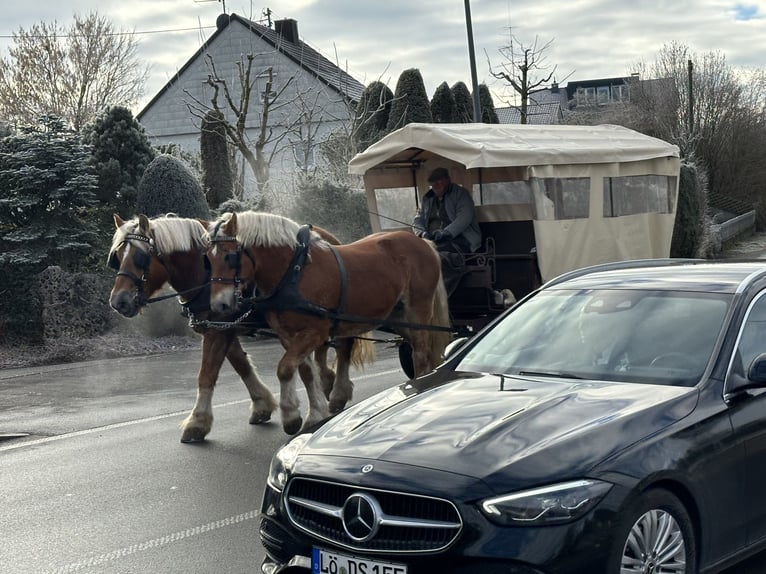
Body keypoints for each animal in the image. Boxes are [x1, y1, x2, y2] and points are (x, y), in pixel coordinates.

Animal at [109, 214, 376, 444]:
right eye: (117, 256)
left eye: (140, 257)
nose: (118, 301)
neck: (205, 272)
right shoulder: (221, 327)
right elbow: (241, 365)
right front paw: (262, 405)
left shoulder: (220, 331)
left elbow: (207, 374)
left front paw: (197, 422)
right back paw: (327, 383)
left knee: (343, 345)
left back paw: (338, 391)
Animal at [207, 212, 452, 436]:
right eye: (207, 258)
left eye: (229, 257)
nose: (219, 304)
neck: (293, 271)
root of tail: (423, 242)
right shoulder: (288, 336)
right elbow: (304, 371)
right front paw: (311, 413)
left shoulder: (315, 332)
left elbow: (285, 368)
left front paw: (292, 415)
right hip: (396, 317)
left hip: (418, 310)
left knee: (420, 352)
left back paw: (422, 384)